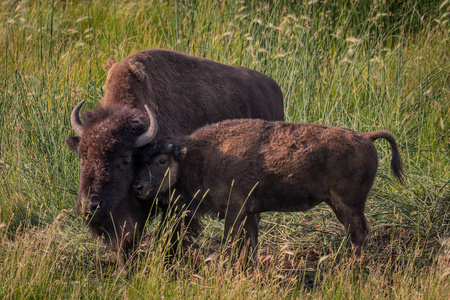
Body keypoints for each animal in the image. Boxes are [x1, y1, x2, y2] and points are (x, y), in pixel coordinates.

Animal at [66, 49, 284, 270]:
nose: (90, 205)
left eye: (125, 160)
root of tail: (273, 88)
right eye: (83, 157)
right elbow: (127, 240)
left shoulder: (177, 202)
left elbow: (169, 235)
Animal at [133, 116, 404, 262]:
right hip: (340, 205)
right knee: (357, 233)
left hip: (349, 204)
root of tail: (366, 137)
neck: (201, 155)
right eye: (142, 159)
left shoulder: (235, 211)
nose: (138, 186)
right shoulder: (251, 213)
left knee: (358, 234)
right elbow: (251, 243)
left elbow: (230, 242)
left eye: (162, 160)